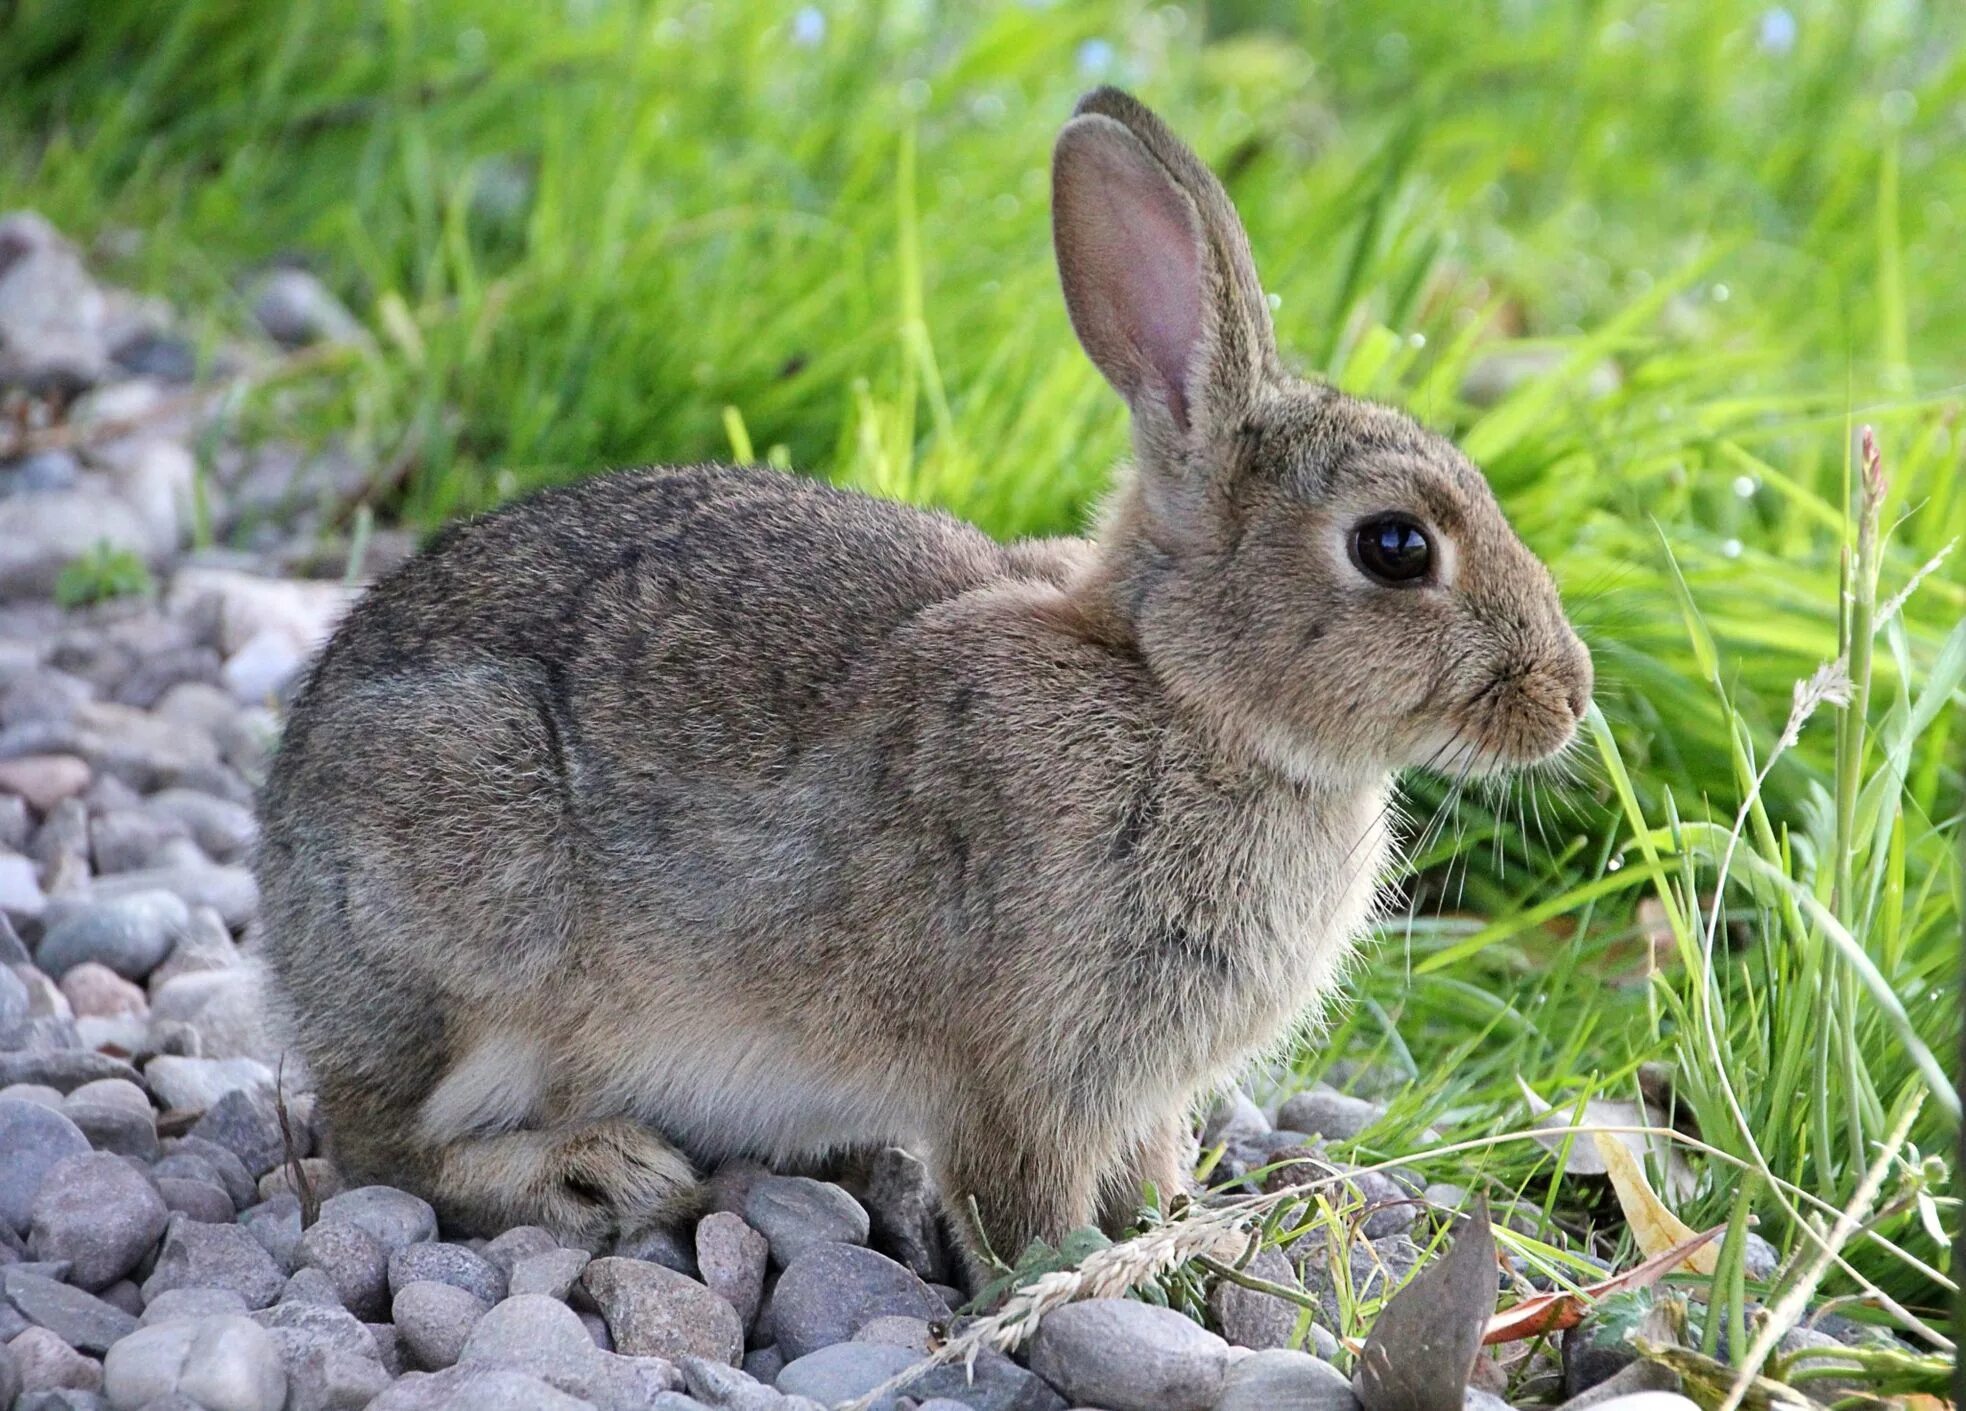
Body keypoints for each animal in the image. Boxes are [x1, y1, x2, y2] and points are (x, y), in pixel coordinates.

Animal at [253, 85, 1588, 1257]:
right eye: (1394, 547)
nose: (1567, 694)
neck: (1180, 696)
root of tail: (280, 861)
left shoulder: (1139, 1087)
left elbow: (1146, 1165)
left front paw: (1177, 1233)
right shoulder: (1025, 1063)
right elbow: (1022, 1196)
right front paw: (1080, 1277)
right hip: (465, 920)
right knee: (380, 1146)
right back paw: (591, 1170)